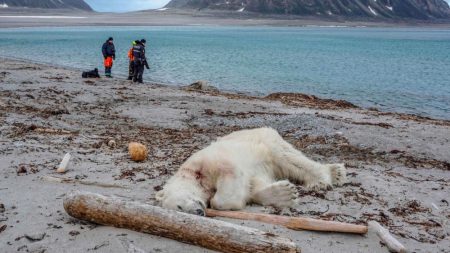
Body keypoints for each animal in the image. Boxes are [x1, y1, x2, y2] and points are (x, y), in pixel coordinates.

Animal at [156, 127, 346, 214]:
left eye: (179, 206)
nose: (198, 212)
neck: (194, 174)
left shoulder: (210, 161)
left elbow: (228, 180)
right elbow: (254, 185)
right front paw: (285, 194)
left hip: (267, 142)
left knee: (290, 159)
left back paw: (325, 178)